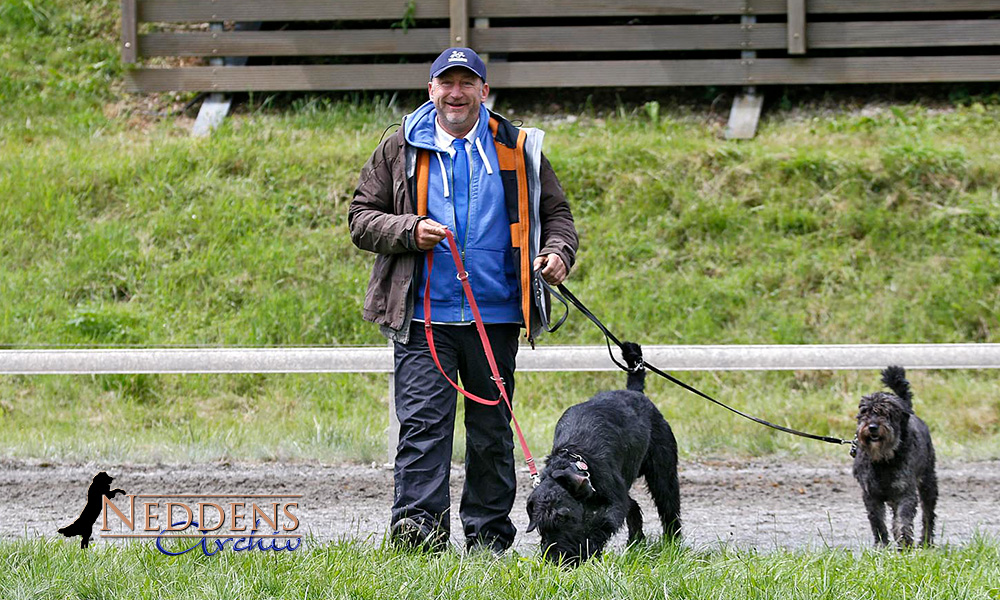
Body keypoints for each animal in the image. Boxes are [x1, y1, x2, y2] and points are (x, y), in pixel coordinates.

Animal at [524, 340, 680, 564]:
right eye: (540, 527)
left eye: (563, 516)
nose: (556, 558)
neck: (575, 459)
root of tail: (636, 392)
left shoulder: (613, 503)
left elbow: (600, 525)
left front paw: (588, 551)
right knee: (635, 507)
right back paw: (636, 541)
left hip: (663, 473)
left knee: (668, 506)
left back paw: (672, 541)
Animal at [852, 366, 936, 548]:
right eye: (864, 413)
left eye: (887, 413)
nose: (872, 427)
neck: (883, 460)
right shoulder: (871, 495)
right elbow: (877, 520)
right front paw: (881, 544)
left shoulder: (905, 492)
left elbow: (902, 519)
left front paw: (904, 541)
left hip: (928, 482)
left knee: (928, 514)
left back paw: (926, 541)